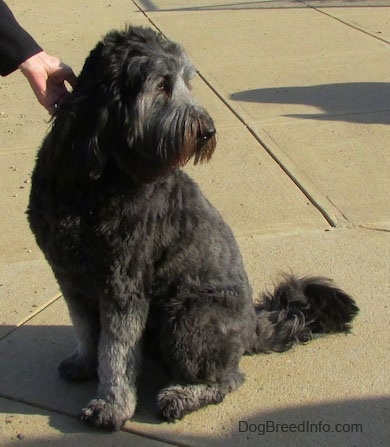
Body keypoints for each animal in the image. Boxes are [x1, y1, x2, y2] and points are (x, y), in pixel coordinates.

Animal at [25, 26, 358, 432]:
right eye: (162, 85)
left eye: (188, 82)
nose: (208, 131)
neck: (97, 178)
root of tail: (251, 325)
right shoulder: (70, 278)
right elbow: (86, 331)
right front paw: (85, 363)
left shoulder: (124, 287)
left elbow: (117, 353)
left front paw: (111, 406)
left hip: (188, 317)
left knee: (228, 377)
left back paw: (179, 396)